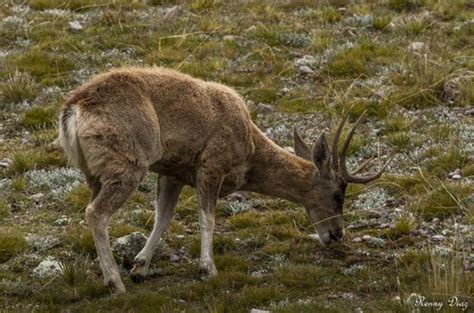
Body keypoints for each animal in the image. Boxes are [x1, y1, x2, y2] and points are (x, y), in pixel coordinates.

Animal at [59, 66, 390, 292]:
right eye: (339, 193)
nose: (337, 234)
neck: (250, 151)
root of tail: (73, 111)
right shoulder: (210, 163)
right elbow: (207, 217)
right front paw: (208, 269)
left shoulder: (173, 171)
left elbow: (162, 218)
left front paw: (140, 267)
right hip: (128, 164)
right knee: (96, 212)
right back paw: (114, 282)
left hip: (93, 172)